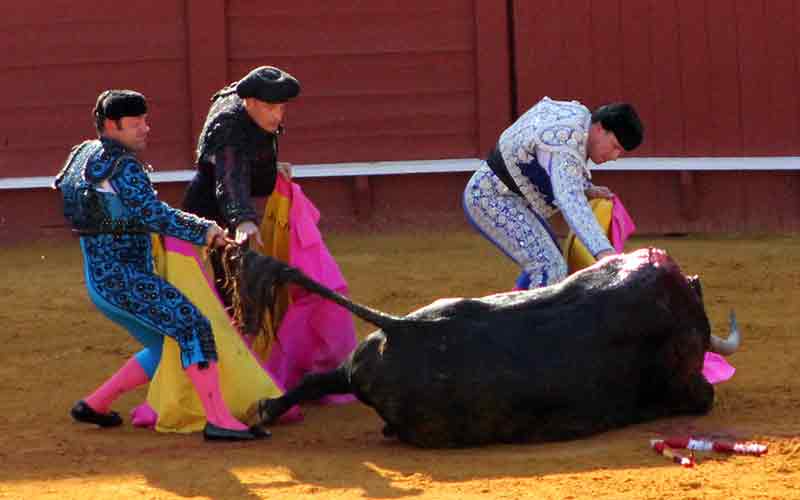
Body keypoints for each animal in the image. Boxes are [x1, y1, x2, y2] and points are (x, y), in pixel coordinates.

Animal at [222, 248, 740, 448]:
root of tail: (399, 328)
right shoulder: (688, 383)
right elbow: (706, 395)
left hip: (352, 366)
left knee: (317, 379)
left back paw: (265, 409)